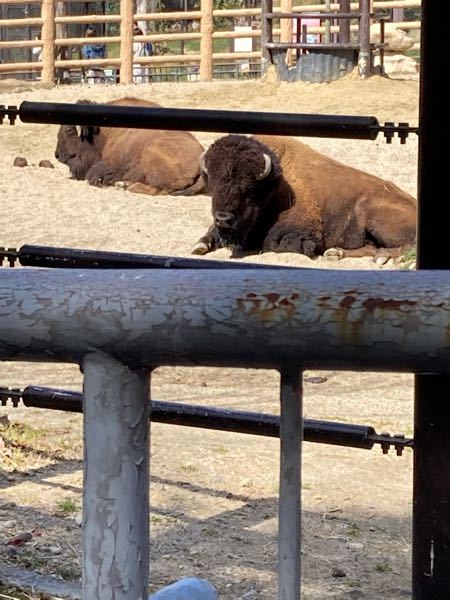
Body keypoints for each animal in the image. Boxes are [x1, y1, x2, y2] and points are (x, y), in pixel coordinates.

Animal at [54, 96, 206, 195]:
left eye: (69, 130)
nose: (57, 155)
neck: (104, 131)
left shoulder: (111, 163)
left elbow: (94, 174)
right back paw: (124, 184)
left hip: (149, 152)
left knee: (159, 189)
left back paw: (127, 186)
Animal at [192, 135, 416, 262]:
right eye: (213, 184)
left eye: (248, 189)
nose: (223, 218)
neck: (275, 185)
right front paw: (200, 245)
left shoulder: (303, 233)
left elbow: (274, 243)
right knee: (369, 246)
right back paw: (335, 253)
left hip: (376, 217)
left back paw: (382, 256)